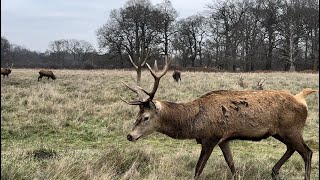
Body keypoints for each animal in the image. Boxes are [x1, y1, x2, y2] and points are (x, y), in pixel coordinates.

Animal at [122, 55, 318, 179]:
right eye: (137, 114)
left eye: (146, 117)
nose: (130, 136)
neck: (194, 123)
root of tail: (301, 99)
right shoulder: (225, 139)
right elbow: (232, 167)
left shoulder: (211, 137)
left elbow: (198, 170)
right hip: (280, 132)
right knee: (292, 148)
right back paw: (274, 171)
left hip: (292, 129)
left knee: (307, 152)